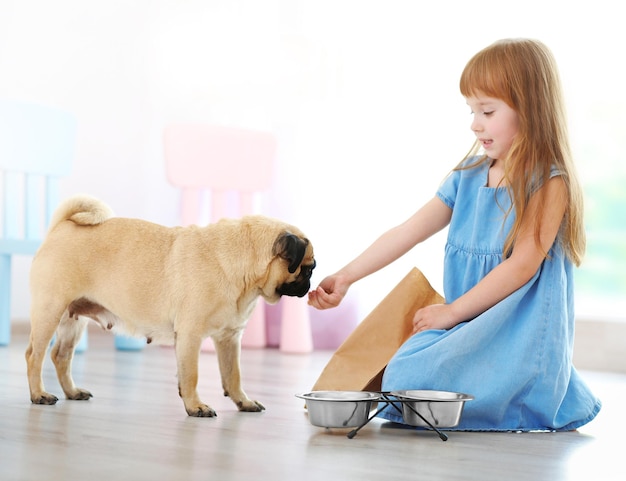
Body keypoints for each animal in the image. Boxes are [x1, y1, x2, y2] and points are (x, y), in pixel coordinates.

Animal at [26, 195, 314, 416]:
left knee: (60, 356)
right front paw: (195, 406)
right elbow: (191, 375)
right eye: (308, 268)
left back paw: (72, 392)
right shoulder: (190, 336)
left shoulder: (229, 339)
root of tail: (61, 227)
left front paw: (243, 401)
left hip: (72, 321)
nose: (309, 285)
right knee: (35, 356)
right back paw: (39, 394)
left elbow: (233, 375)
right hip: (50, 311)